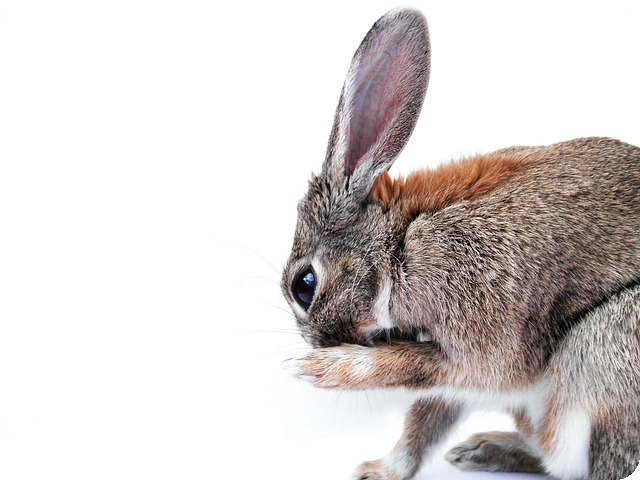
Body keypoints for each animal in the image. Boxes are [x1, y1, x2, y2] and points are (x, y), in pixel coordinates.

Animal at [281, 7, 640, 480]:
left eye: (304, 285)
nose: (317, 344)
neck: (398, 245)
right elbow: (424, 419)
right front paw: (378, 471)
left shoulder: (478, 347)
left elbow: (416, 370)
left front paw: (321, 370)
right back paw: (481, 449)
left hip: (600, 347)